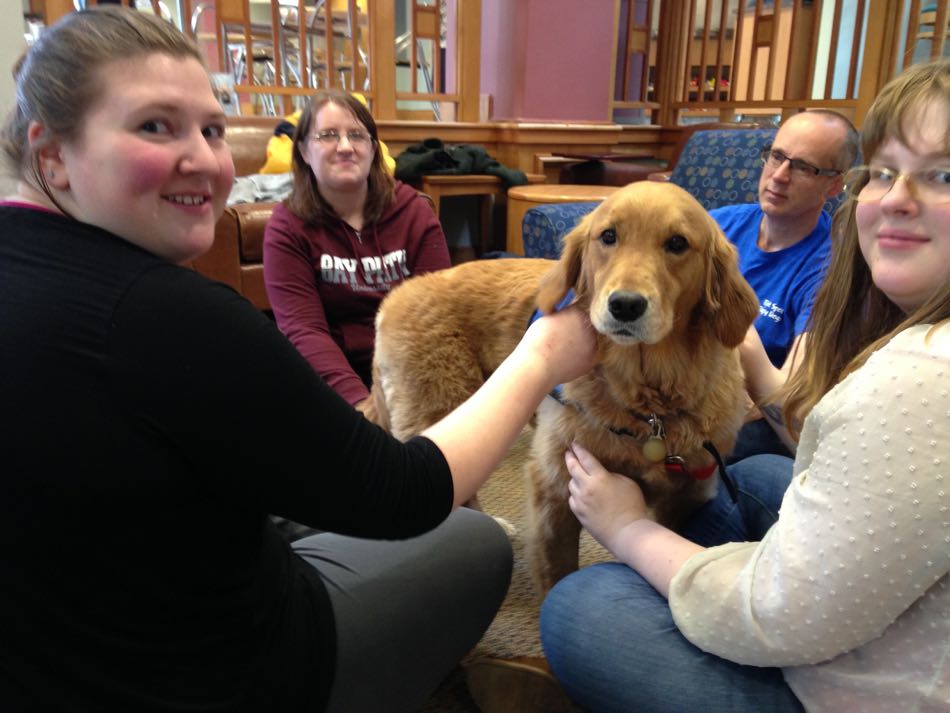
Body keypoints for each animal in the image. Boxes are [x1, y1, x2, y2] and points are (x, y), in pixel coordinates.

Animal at [370, 182, 760, 588]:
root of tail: (397, 295)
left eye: (677, 243)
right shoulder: (555, 488)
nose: (625, 305)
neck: (649, 409)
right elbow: (557, 574)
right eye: (608, 236)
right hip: (442, 408)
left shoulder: (688, 495)